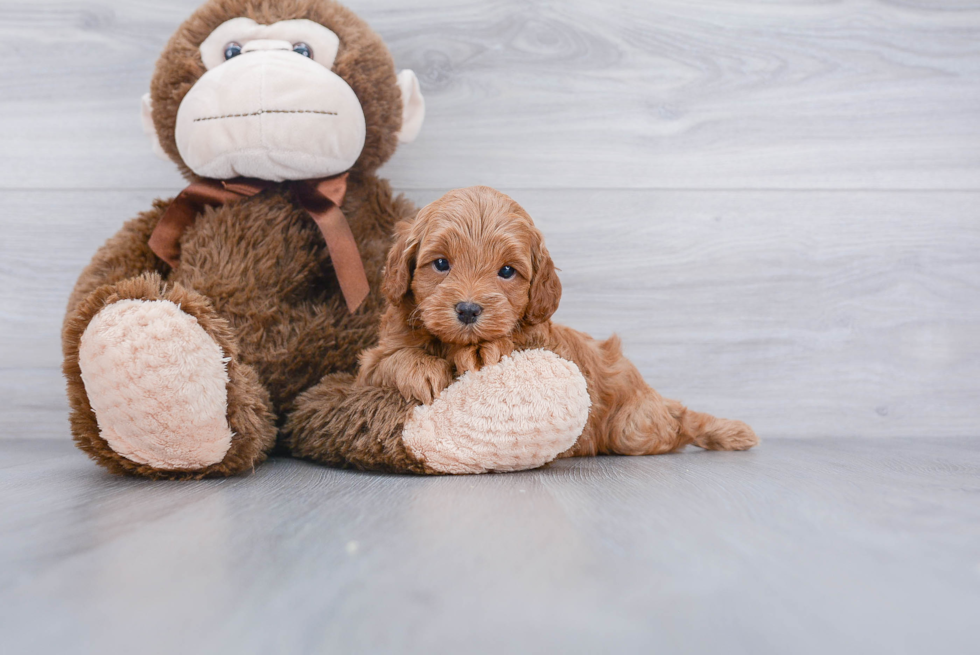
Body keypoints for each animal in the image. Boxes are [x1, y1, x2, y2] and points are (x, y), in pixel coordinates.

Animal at [358, 186, 756, 456]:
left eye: (507, 271)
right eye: (441, 263)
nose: (469, 310)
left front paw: (483, 351)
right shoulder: (371, 362)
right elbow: (390, 359)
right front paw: (423, 370)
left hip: (634, 429)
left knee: (677, 426)